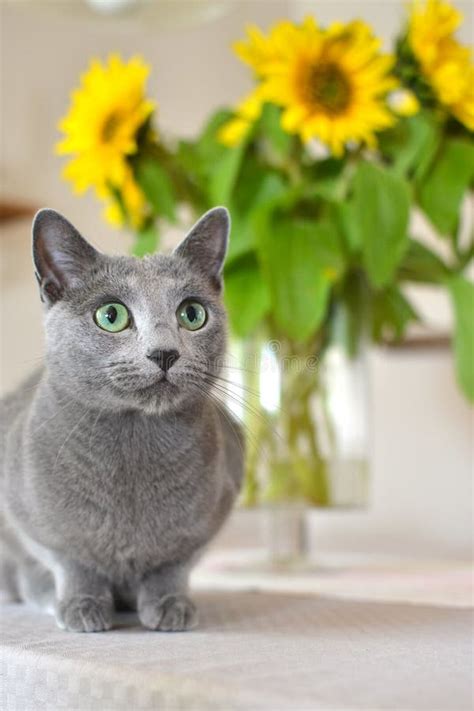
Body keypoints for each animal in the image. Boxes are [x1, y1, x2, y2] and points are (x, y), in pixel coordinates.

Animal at [0, 207, 243, 636]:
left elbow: (172, 566)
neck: (134, 442)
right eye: (111, 316)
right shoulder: (30, 517)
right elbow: (72, 563)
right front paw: (82, 605)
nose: (164, 353)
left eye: (192, 314)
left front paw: (170, 604)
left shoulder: (207, 520)